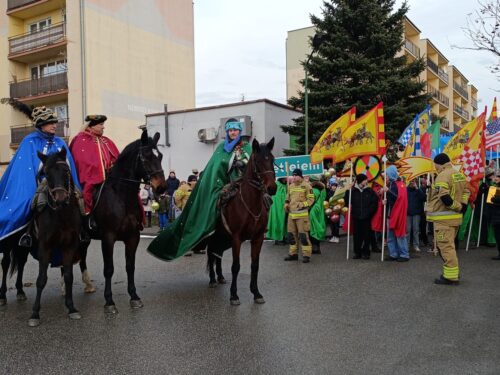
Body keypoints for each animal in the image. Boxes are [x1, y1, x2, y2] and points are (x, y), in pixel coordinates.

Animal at [28, 148, 82, 328]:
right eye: (46, 173)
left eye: (66, 170)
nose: (60, 198)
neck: (61, 215)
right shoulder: (45, 247)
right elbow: (41, 279)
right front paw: (35, 313)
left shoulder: (69, 246)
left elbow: (68, 276)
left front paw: (71, 308)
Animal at [80, 131, 166, 312]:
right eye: (146, 157)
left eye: (160, 156)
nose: (161, 187)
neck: (121, 197)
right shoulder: (108, 238)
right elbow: (109, 269)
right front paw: (109, 301)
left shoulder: (133, 237)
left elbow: (130, 266)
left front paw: (134, 296)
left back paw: (87, 285)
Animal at [207, 138, 278, 306]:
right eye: (258, 161)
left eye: (272, 160)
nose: (272, 188)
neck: (251, 204)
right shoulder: (237, 238)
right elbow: (236, 266)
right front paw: (234, 295)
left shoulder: (258, 238)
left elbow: (255, 265)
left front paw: (256, 293)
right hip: (215, 236)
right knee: (211, 252)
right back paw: (212, 279)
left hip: (223, 237)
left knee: (217, 252)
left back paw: (220, 276)